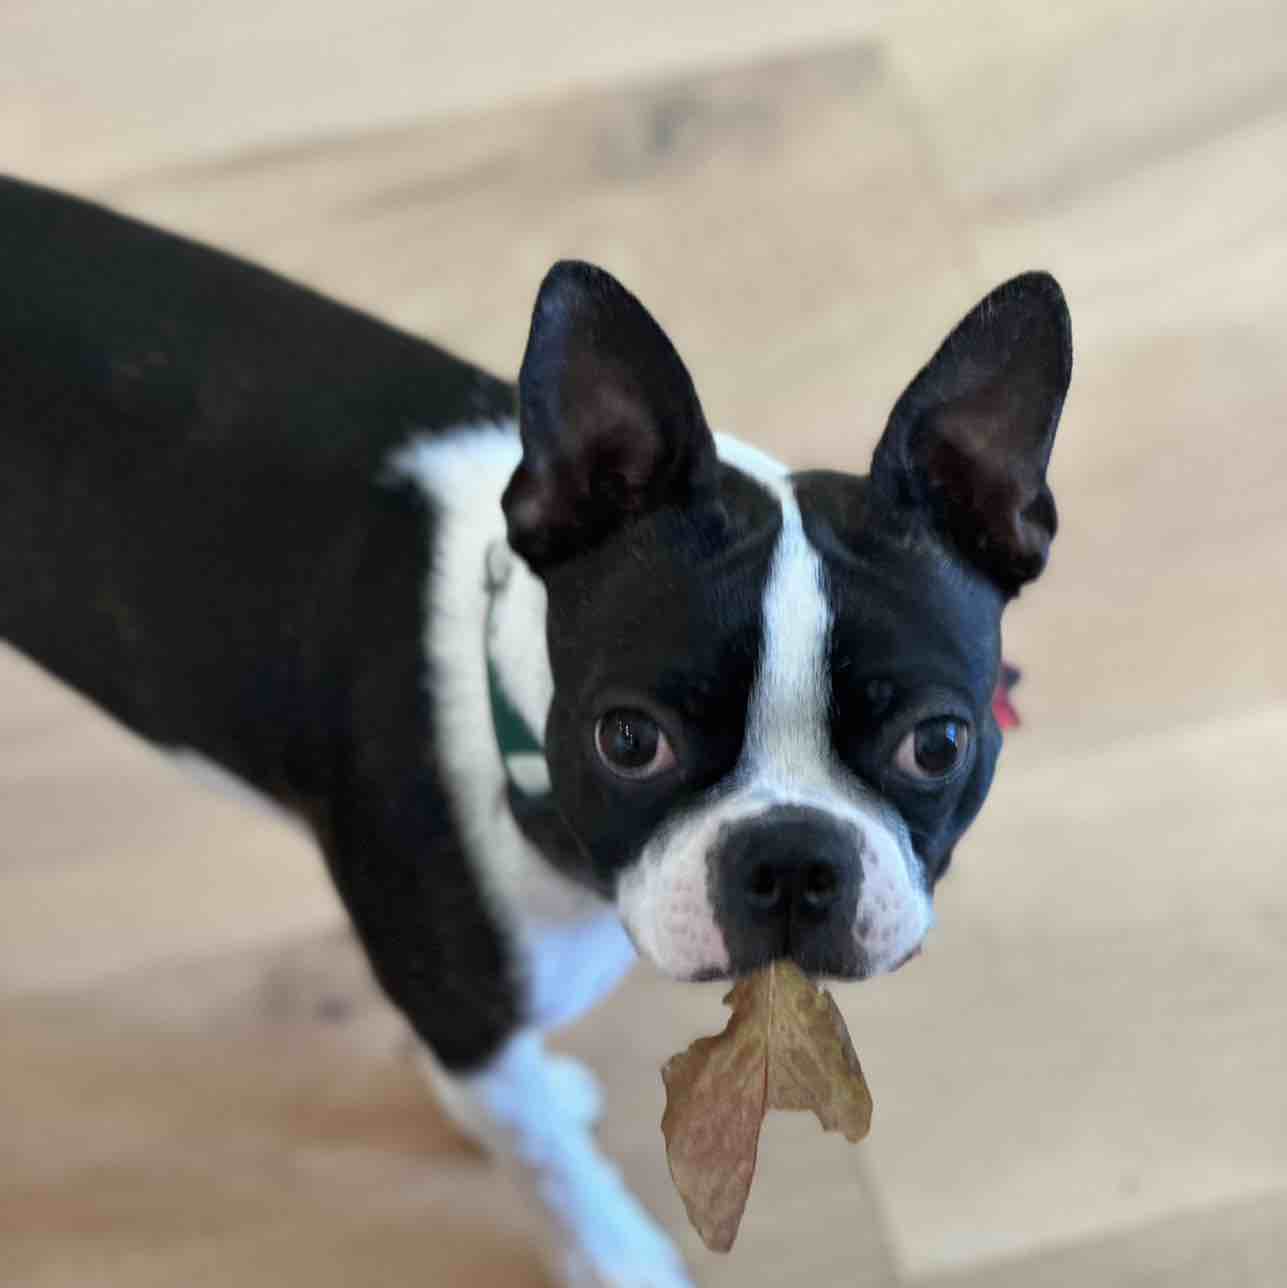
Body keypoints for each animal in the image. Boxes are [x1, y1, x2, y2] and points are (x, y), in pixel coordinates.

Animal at [0, 175, 1071, 1286]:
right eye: (630, 741)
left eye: (937, 745)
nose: (789, 858)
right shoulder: (470, 1028)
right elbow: (553, 1169)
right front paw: (620, 1257)